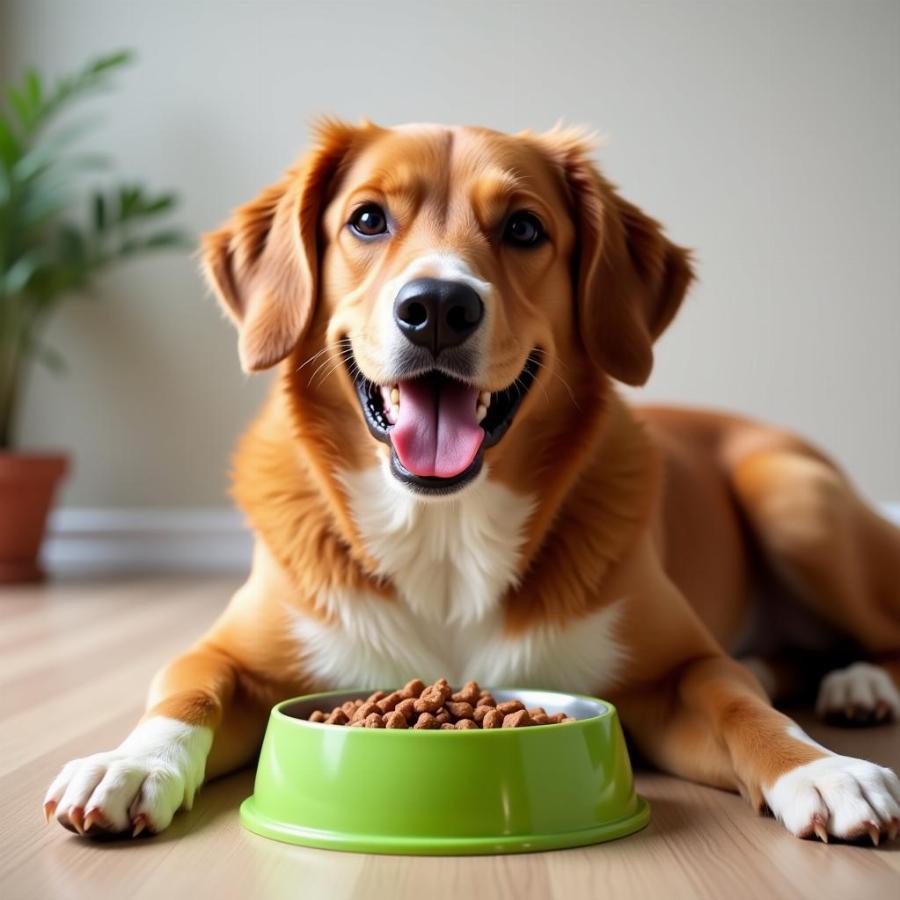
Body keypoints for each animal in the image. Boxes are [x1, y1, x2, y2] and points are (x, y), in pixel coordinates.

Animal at [44, 119, 900, 844]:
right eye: (367, 220)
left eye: (523, 228)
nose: (438, 307)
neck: (443, 530)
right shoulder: (232, 656)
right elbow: (190, 688)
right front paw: (129, 762)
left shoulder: (682, 671)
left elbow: (743, 707)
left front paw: (822, 769)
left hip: (793, 495)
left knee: (870, 638)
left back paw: (857, 686)